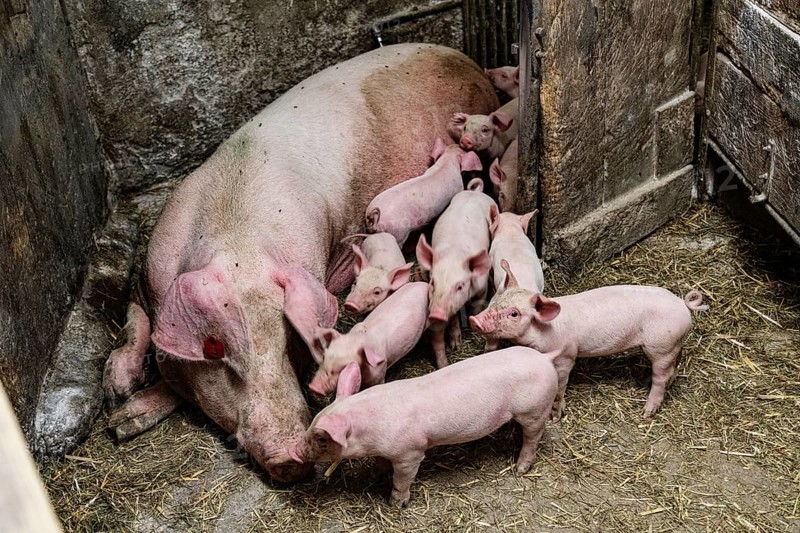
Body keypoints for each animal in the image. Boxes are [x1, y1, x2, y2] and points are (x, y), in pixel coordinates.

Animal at [288, 346, 558, 507]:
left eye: (322, 439)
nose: (295, 451)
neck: (371, 428)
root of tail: (545, 358)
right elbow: (380, 464)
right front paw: (375, 474)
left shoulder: (411, 452)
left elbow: (402, 479)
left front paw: (396, 504)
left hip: (534, 410)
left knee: (533, 437)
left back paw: (520, 469)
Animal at [416, 185, 496, 367]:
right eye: (432, 282)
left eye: (460, 286)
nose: (435, 314)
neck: (454, 254)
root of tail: (475, 191)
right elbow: (453, 317)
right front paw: (455, 345)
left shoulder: (482, 288)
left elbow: (477, 306)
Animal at [469, 275, 709, 421]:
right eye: (493, 302)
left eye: (514, 314)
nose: (473, 319)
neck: (543, 331)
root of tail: (683, 304)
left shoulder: (565, 356)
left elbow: (561, 385)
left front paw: (555, 417)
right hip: (673, 344)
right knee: (674, 366)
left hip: (661, 346)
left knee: (661, 376)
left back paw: (646, 412)